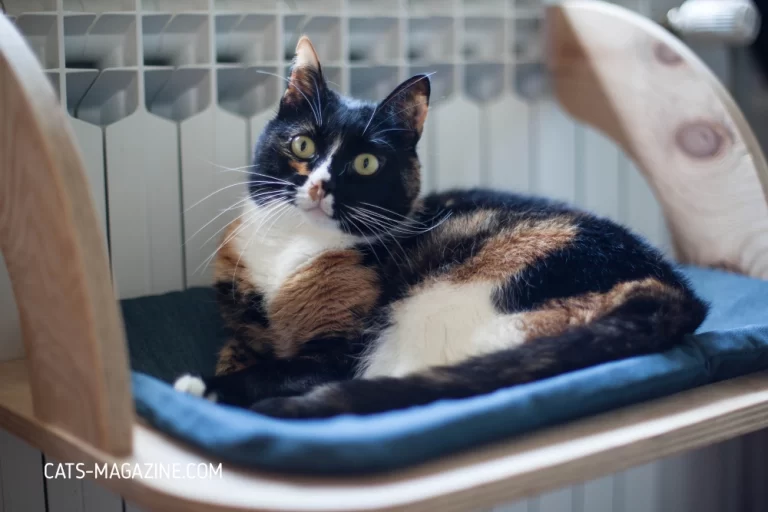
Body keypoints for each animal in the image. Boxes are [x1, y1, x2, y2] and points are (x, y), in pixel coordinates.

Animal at [174, 37, 708, 420]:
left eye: (366, 163)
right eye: (303, 145)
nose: (321, 185)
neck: (291, 246)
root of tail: (673, 289)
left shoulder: (336, 351)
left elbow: (279, 370)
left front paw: (202, 386)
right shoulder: (242, 329)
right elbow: (240, 353)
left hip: (444, 305)